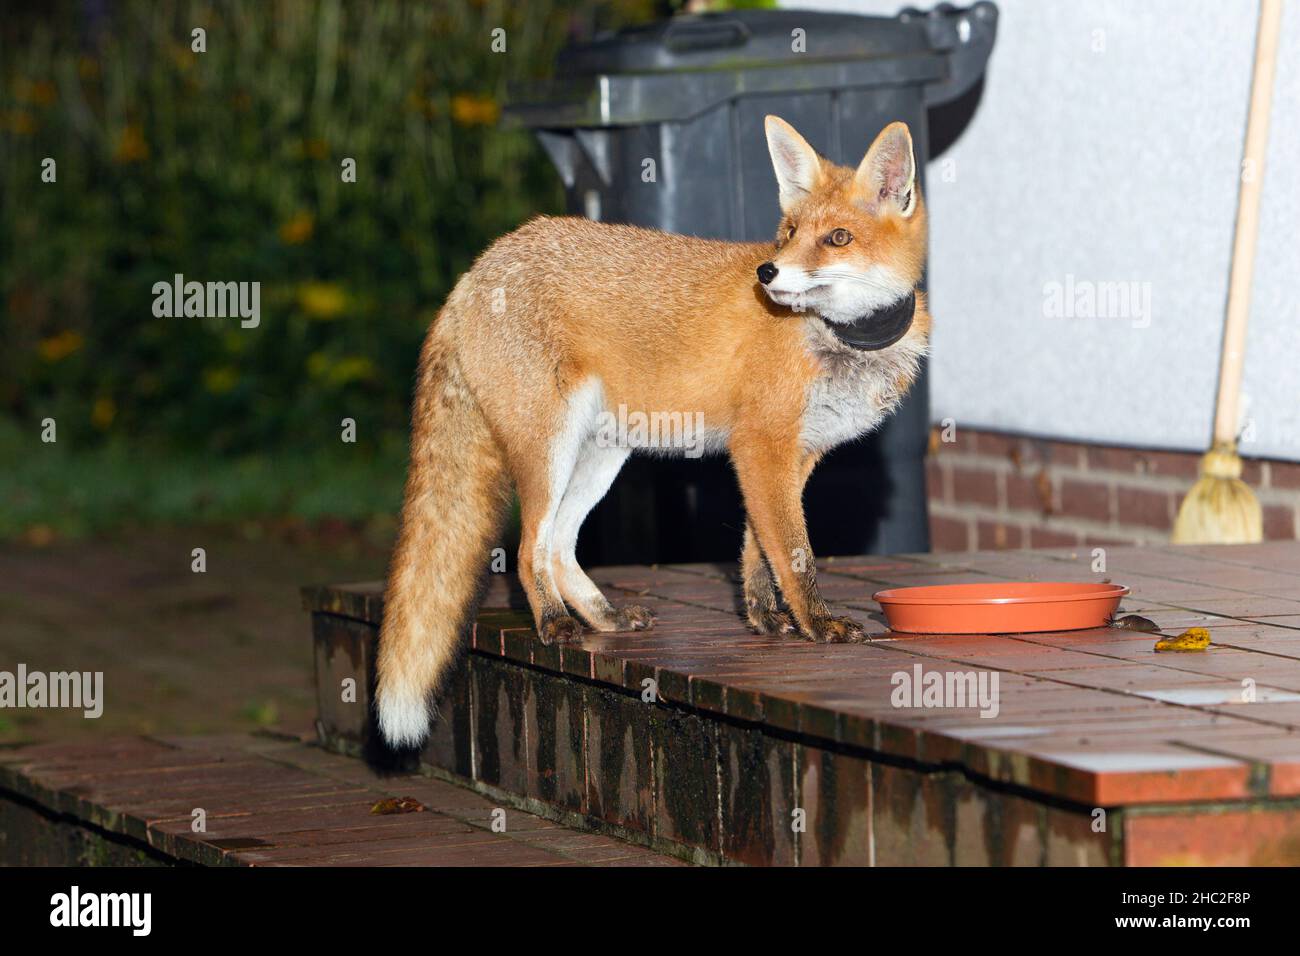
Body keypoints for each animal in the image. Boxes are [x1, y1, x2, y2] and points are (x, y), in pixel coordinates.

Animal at [371, 117, 930, 749]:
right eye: (788, 234)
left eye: (837, 237)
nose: (767, 272)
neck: (837, 338)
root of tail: (474, 272)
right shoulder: (761, 448)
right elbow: (794, 555)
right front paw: (818, 624)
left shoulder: (792, 457)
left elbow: (757, 550)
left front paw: (764, 619)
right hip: (549, 450)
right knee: (528, 547)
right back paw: (554, 623)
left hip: (602, 455)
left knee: (559, 544)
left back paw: (604, 617)